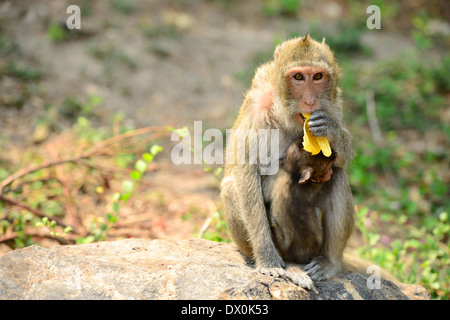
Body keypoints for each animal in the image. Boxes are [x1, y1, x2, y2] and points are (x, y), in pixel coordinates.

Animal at [221, 35, 356, 288]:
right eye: (298, 77)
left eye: (318, 77)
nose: (311, 101)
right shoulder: (258, 103)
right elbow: (246, 172)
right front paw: (268, 261)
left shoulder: (334, 102)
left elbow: (343, 160)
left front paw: (329, 129)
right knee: (231, 187)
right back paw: (290, 265)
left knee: (339, 176)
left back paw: (328, 262)